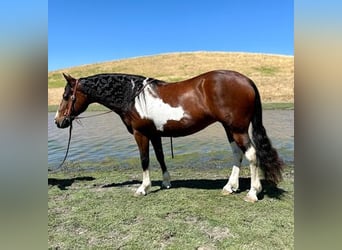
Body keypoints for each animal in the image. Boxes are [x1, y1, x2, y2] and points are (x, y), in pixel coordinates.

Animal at [54, 69, 284, 202]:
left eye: (66, 96)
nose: (58, 121)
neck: (132, 96)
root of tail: (247, 80)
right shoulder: (155, 134)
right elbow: (160, 157)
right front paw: (165, 182)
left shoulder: (140, 134)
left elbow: (144, 159)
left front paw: (143, 188)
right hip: (230, 128)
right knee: (237, 154)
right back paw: (230, 187)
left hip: (237, 129)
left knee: (252, 154)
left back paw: (253, 193)